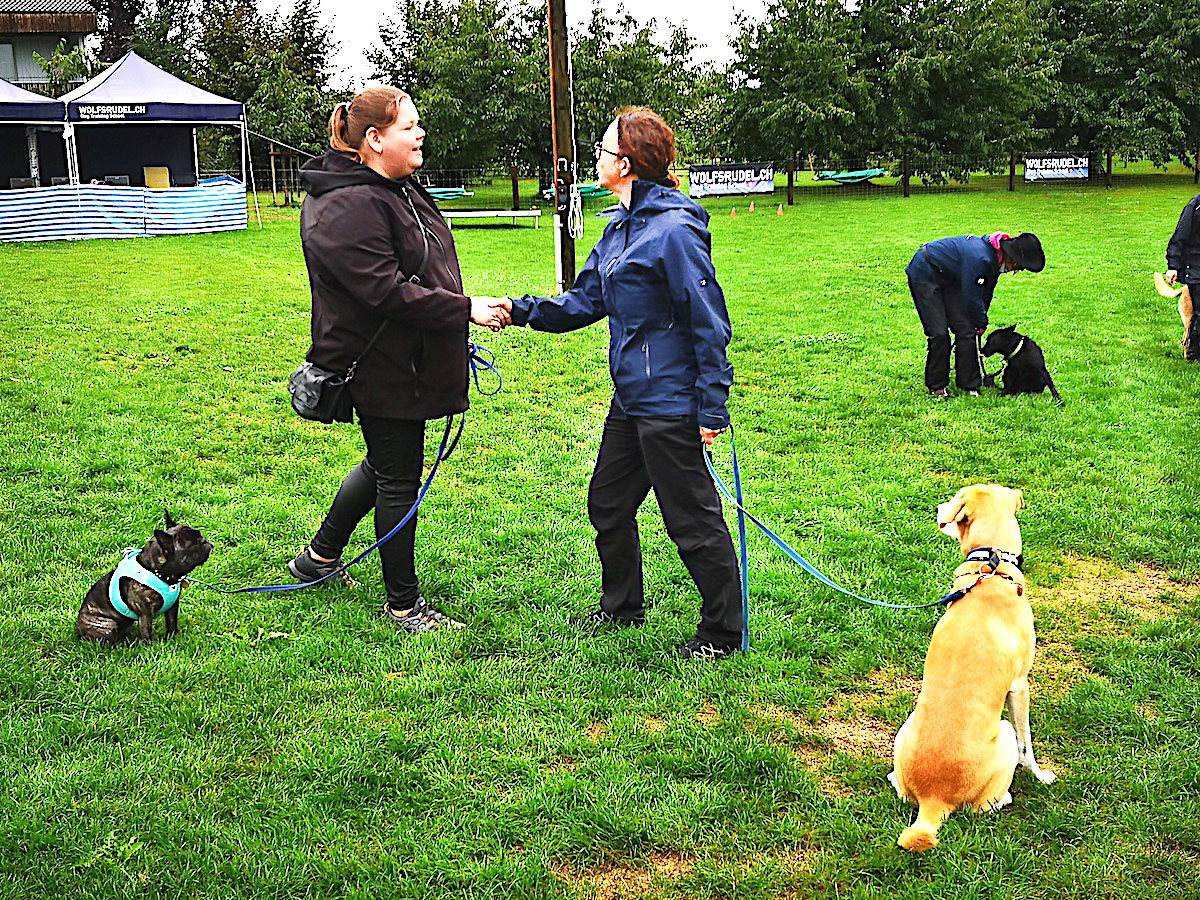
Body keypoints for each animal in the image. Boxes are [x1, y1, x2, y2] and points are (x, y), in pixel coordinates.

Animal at [76, 511, 213, 643]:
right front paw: (149, 647)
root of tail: (77, 628)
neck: (158, 573)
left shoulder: (173, 607)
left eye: (200, 537)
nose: (208, 542)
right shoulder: (145, 614)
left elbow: (172, 623)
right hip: (109, 624)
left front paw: (173, 637)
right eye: (194, 545)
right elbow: (147, 633)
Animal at [888, 487, 1056, 854]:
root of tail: (933, 798)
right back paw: (1005, 797)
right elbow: (1028, 744)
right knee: (987, 802)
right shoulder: (1020, 686)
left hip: (905, 729)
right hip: (1003, 732)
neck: (992, 566)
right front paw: (1040, 775)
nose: (938, 507)